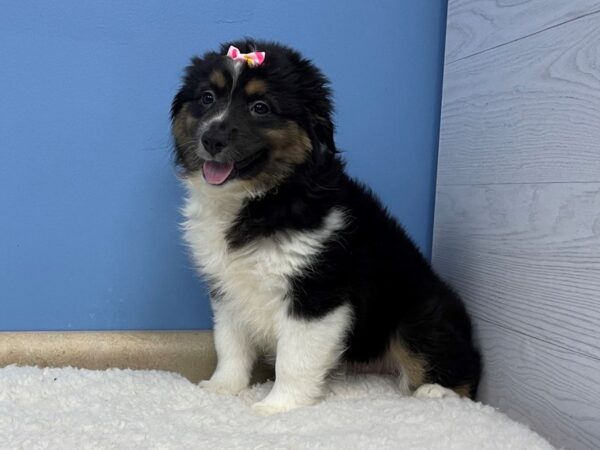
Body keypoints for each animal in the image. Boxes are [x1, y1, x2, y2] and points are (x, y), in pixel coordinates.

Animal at [171, 39, 480, 414]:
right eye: (206, 98)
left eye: (260, 107)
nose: (212, 139)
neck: (262, 198)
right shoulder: (227, 287)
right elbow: (230, 343)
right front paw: (222, 388)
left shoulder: (317, 292)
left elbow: (294, 359)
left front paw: (276, 407)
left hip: (419, 316)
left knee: (463, 365)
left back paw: (436, 393)